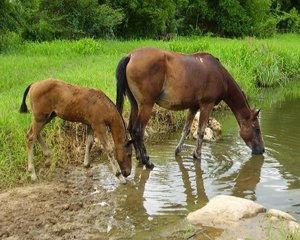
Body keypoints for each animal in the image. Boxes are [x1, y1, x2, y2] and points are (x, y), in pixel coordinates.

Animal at [116, 47, 264, 169]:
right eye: (257, 129)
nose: (262, 150)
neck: (220, 74)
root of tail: (130, 55)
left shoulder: (193, 107)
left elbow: (186, 129)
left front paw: (178, 151)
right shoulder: (207, 105)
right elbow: (201, 131)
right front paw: (197, 154)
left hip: (135, 104)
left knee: (131, 128)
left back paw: (140, 159)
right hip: (146, 105)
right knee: (138, 131)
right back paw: (147, 161)